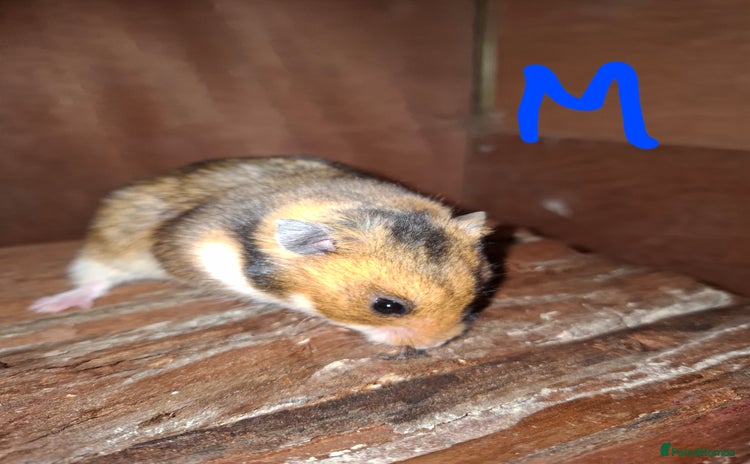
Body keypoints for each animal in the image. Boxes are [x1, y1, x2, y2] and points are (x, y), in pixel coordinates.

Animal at [30, 156, 492, 349]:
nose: (441, 344)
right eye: (387, 306)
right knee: (92, 280)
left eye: (477, 293)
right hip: (103, 249)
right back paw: (47, 306)